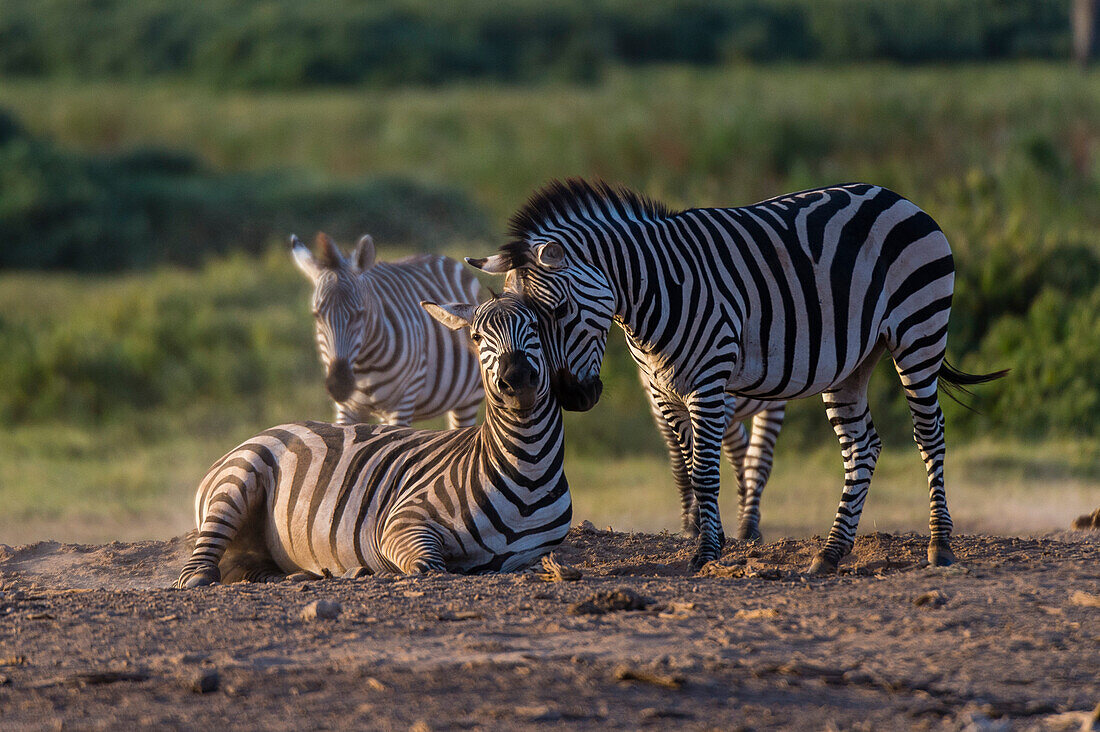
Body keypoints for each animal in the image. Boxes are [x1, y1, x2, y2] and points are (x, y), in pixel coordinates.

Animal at [173, 290, 567, 590]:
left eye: (535, 326)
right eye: (476, 338)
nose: (516, 378)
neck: (527, 469)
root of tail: (269, 429)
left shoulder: (534, 552)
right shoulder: (400, 524)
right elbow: (431, 566)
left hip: (259, 545)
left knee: (252, 568)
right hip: (236, 482)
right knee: (198, 569)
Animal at [290, 234, 484, 429]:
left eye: (360, 314)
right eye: (316, 315)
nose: (339, 386)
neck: (363, 366)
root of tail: (439, 257)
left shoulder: (404, 400)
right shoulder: (347, 408)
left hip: (469, 399)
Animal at [473, 177, 1007, 572]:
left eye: (558, 311)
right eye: (526, 319)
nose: (575, 398)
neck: (652, 291)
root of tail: (897, 197)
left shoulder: (709, 380)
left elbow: (707, 471)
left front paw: (707, 554)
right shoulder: (664, 389)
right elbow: (689, 468)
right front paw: (707, 540)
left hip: (919, 329)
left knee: (929, 432)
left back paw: (940, 545)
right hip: (851, 363)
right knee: (863, 446)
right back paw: (831, 553)